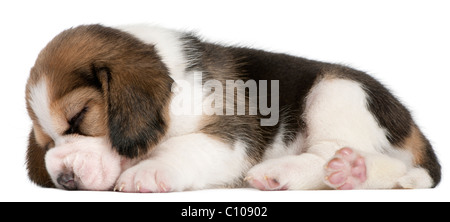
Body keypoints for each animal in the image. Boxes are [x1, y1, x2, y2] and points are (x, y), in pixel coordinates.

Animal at [24, 23, 440, 191]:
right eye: (45, 143)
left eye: (79, 117)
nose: (64, 179)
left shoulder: (232, 136)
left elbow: (181, 147)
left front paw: (150, 171)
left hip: (336, 90)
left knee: (336, 154)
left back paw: (311, 170)